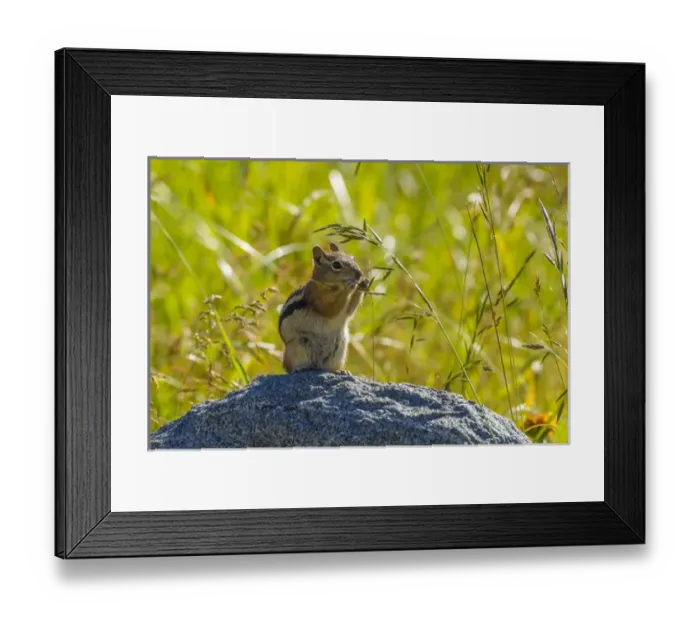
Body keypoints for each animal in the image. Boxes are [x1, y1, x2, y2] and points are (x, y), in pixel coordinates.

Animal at [278, 243, 370, 374]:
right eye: (336, 265)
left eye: (353, 258)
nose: (359, 274)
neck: (333, 288)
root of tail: (317, 365)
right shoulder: (316, 296)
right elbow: (330, 309)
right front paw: (350, 286)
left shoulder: (346, 311)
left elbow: (350, 309)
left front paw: (363, 283)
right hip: (297, 347)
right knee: (289, 366)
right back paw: (299, 368)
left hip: (339, 349)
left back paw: (340, 371)